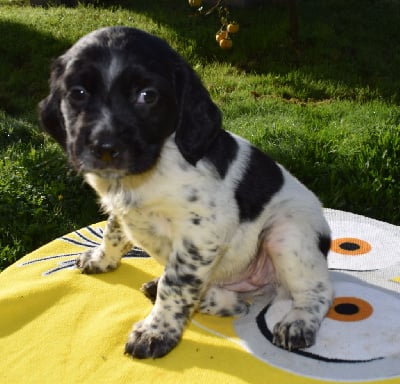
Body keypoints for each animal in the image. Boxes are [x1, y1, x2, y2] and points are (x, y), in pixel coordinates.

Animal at [39, 27, 334, 360]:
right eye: (77, 93)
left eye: (148, 96)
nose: (105, 149)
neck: (150, 169)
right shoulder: (121, 208)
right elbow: (113, 233)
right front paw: (103, 259)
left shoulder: (200, 234)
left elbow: (176, 285)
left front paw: (155, 332)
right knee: (240, 304)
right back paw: (206, 298)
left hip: (285, 234)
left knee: (318, 291)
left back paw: (298, 322)